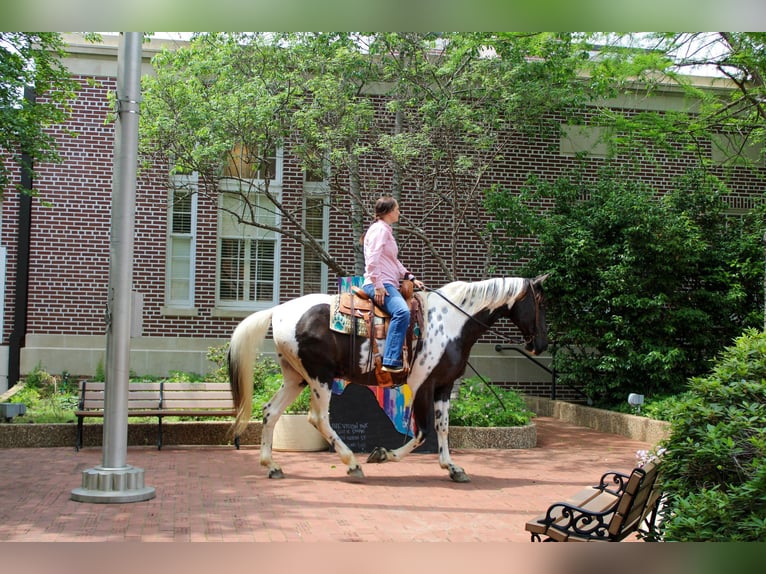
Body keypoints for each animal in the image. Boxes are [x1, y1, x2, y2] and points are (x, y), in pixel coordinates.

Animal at [231, 276, 548, 484]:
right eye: (540, 302)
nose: (541, 345)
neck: (451, 323)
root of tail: (278, 311)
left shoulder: (443, 386)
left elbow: (443, 428)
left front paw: (453, 468)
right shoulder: (422, 385)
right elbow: (422, 433)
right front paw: (382, 454)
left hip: (296, 376)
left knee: (270, 411)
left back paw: (272, 465)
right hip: (320, 376)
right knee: (318, 418)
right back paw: (353, 463)